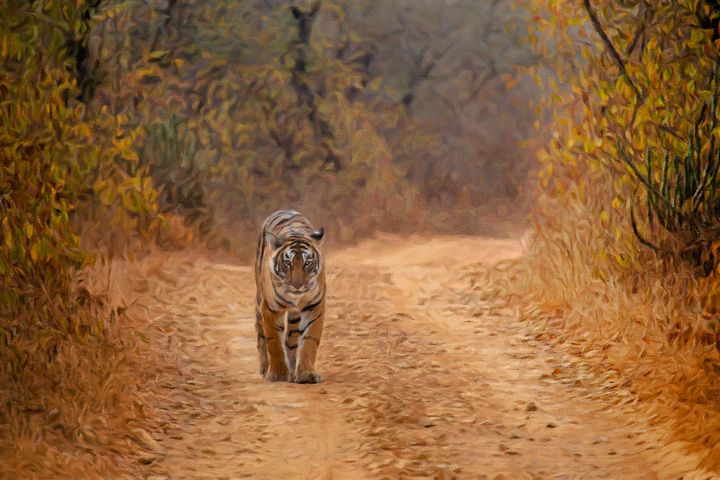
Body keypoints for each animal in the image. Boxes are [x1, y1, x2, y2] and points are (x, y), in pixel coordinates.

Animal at [254, 209, 326, 383]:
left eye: (307, 262)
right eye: (287, 263)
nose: (297, 285)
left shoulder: (315, 306)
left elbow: (309, 341)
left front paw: (307, 374)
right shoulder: (270, 308)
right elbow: (274, 341)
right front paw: (278, 374)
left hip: (294, 316)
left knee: (291, 339)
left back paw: (293, 371)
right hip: (259, 302)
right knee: (260, 334)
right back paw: (265, 368)